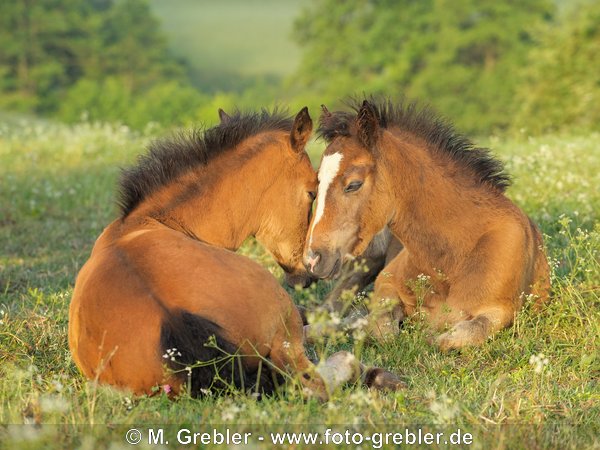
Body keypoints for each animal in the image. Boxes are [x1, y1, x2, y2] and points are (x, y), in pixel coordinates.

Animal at [304, 100, 548, 350]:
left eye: (353, 184)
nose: (313, 258)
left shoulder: (502, 311)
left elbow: (455, 336)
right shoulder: (385, 285)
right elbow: (383, 330)